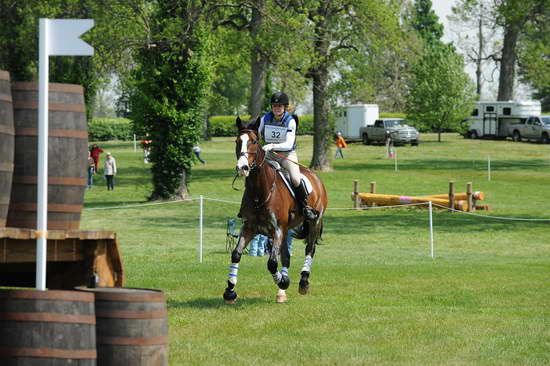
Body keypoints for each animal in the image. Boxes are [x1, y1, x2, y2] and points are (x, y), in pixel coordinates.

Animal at [223, 117, 330, 304]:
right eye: (237, 141)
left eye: (254, 141)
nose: (242, 168)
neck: (260, 192)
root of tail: (315, 176)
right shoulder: (250, 227)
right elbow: (236, 254)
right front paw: (230, 291)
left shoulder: (277, 229)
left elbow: (272, 263)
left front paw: (283, 281)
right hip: (287, 230)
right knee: (286, 256)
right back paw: (281, 292)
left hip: (314, 221)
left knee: (310, 249)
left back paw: (303, 282)